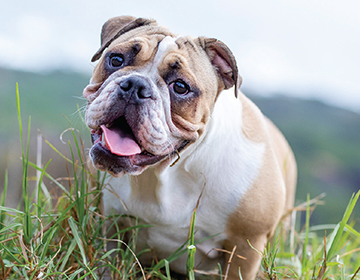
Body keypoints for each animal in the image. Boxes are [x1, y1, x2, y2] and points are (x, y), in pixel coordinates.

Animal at [83, 16, 296, 278]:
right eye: (115, 60)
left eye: (181, 87)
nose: (135, 85)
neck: (162, 173)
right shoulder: (110, 221)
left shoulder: (245, 246)